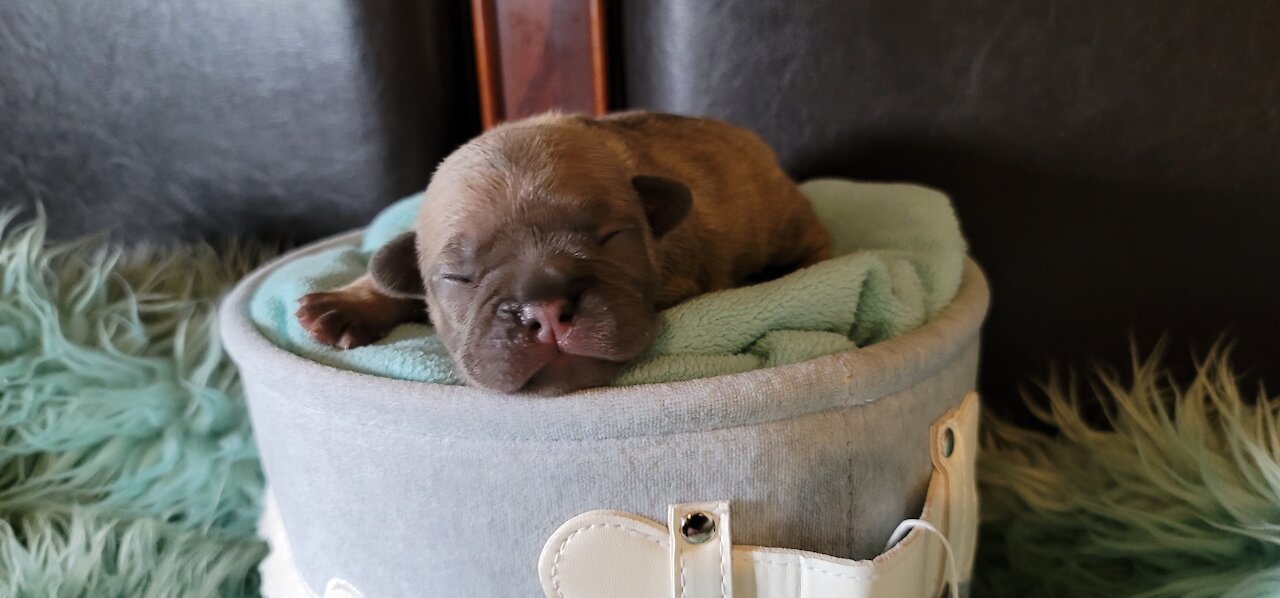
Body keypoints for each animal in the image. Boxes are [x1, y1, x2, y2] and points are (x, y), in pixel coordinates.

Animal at [295, 110, 834, 394]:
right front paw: (346, 303)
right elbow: (388, 273)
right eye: (457, 277)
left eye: (611, 237)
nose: (546, 311)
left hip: (788, 223)